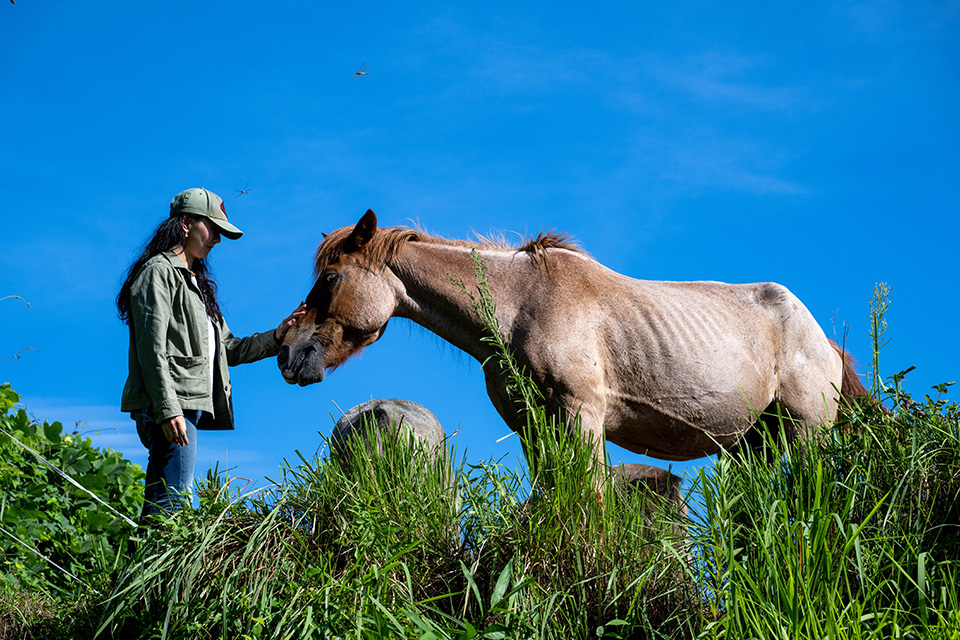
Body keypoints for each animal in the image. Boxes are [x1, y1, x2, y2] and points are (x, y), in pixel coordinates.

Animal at [276, 210, 864, 470]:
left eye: (330, 278)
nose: (288, 350)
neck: (521, 304)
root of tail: (823, 340)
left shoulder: (581, 415)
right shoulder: (535, 428)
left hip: (807, 435)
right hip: (753, 448)